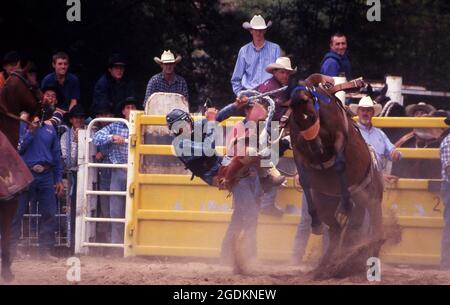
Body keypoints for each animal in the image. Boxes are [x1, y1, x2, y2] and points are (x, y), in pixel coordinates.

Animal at [292, 74, 384, 278]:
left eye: (312, 115)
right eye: (297, 121)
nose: (316, 149)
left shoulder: (340, 138)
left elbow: (340, 165)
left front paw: (345, 207)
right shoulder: (299, 152)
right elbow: (304, 180)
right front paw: (315, 222)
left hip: (372, 199)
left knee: (376, 230)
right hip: (326, 202)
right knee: (337, 231)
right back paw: (325, 266)